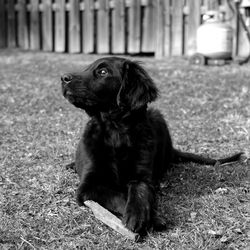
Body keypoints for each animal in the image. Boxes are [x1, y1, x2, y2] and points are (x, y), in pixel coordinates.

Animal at [61, 57, 242, 234]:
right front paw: (152, 219)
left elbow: (139, 191)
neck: (116, 132)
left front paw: (145, 215)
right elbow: (118, 195)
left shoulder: (143, 175)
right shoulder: (89, 185)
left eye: (103, 72)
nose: (64, 78)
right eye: (87, 68)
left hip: (157, 116)